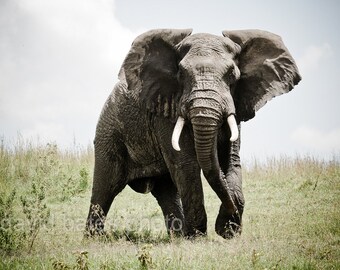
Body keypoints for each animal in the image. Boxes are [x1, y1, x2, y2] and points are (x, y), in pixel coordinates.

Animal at [85, 27, 300, 238]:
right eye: (181, 73)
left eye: (232, 74)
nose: (223, 227)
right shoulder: (167, 108)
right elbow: (186, 164)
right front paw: (199, 237)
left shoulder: (236, 104)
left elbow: (231, 161)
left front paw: (228, 231)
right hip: (109, 133)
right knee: (105, 188)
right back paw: (93, 238)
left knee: (167, 192)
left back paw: (178, 238)